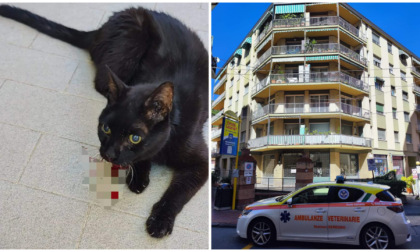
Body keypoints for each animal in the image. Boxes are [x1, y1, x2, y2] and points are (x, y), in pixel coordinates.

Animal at [0, 5, 208, 238]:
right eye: (105, 128)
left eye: (135, 138)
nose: (108, 154)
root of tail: (102, 27)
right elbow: (142, 158)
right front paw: (138, 177)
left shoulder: (200, 162)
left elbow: (177, 192)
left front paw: (160, 220)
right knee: (101, 80)